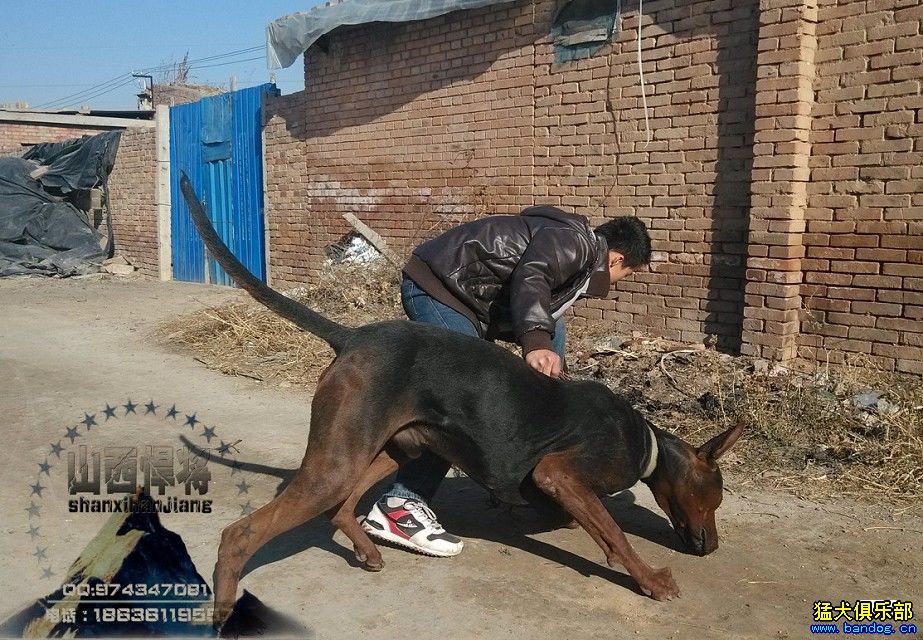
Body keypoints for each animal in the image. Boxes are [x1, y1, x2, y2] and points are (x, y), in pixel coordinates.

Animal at [179, 176, 744, 624]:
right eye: (713, 496)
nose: (713, 547)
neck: (645, 442)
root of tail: (353, 336)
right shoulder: (558, 475)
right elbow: (616, 535)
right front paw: (650, 579)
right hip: (338, 462)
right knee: (241, 535)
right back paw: (226, 605)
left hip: (393, 445)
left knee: (341, 510)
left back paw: (368, 551)